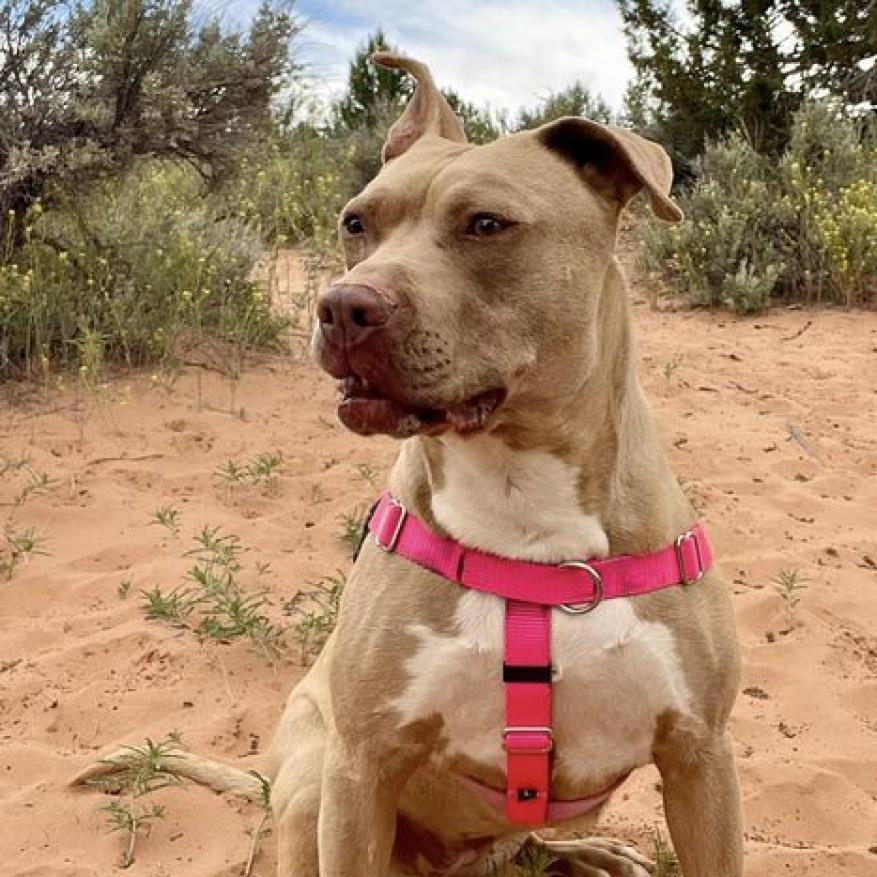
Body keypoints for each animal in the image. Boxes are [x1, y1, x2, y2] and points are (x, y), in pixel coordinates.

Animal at [78, 53, 744, 876]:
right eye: (355, 222)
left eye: (486, 223)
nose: (341, 308)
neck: (520, 501)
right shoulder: (360, 769)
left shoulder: (701, 759)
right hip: (310, 774)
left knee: (525, 847)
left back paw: (592, 851)